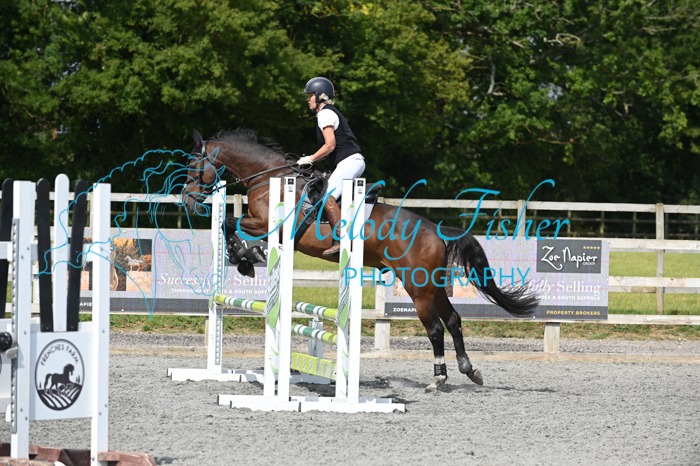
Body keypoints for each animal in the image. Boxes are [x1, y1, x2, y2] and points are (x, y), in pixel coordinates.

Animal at [180, 128, 538, 390]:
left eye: (192, 166)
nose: (188, 200)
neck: (270, 179)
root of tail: (436, 230)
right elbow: (229, 223)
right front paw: (243, 255)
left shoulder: (271, 226)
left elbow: (231, 223)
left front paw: (244, 256)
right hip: (432, 286)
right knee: (453, 321)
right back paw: (469, 370)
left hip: (418, 288)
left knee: (436, 328)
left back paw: (438, 379)